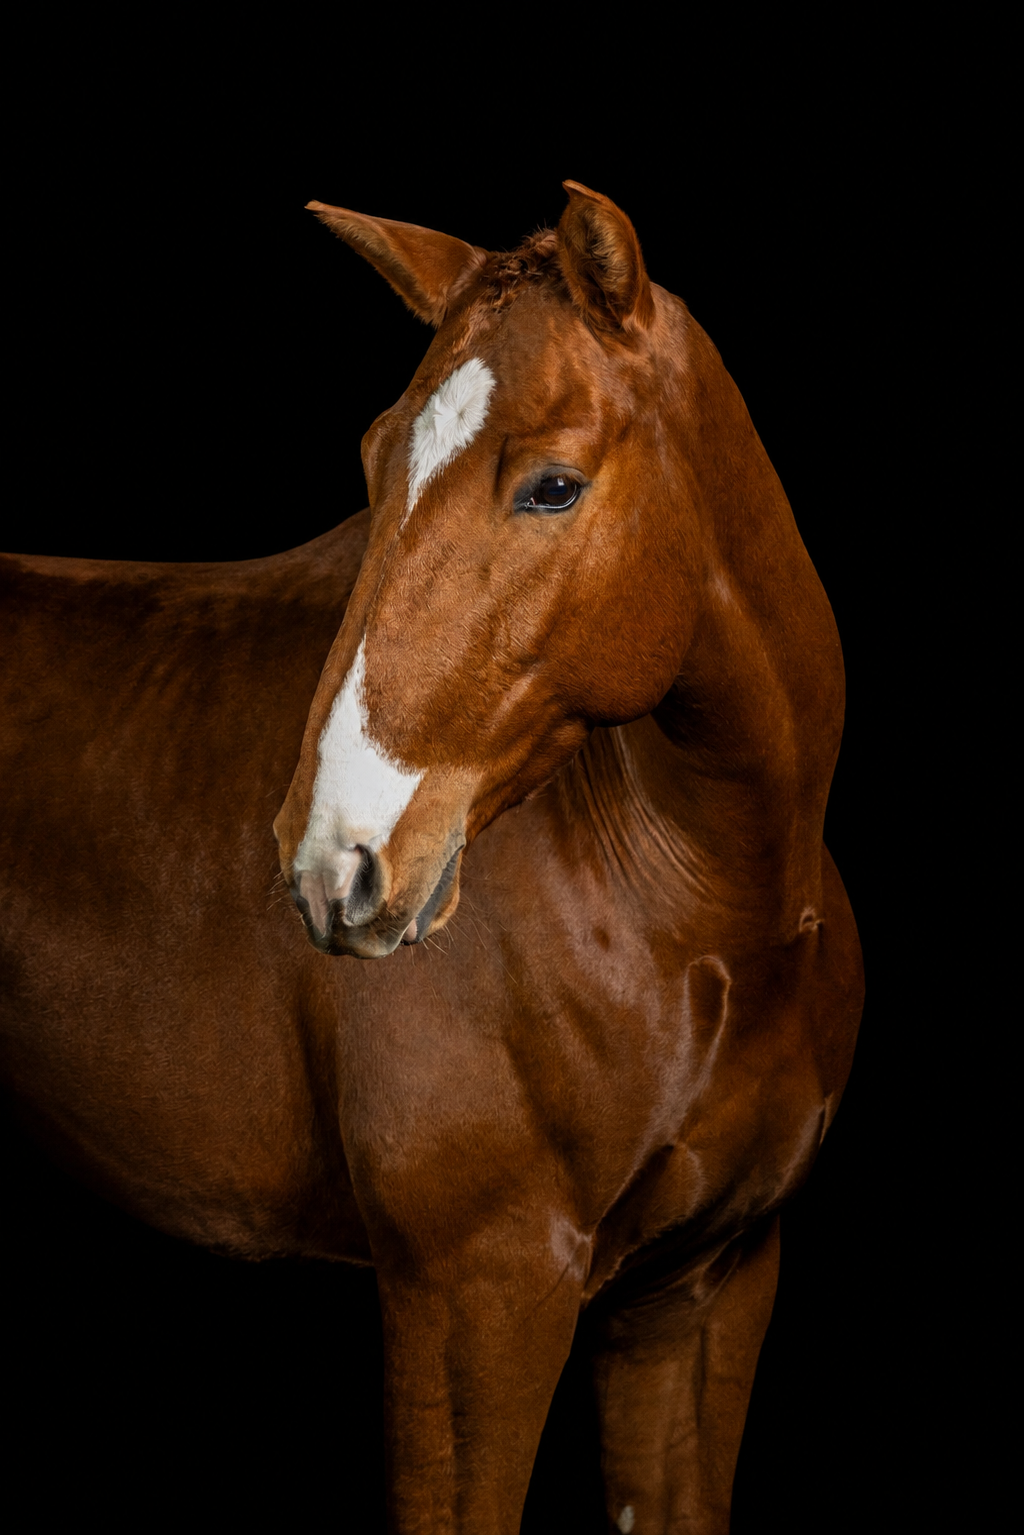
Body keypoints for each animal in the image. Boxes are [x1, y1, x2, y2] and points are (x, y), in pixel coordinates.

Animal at [0, 181, 863, 1533]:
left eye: (553, 486)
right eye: (373, 459)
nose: (334, 859)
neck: (696, 909)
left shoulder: (704, 1291)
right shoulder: (473, 1297)